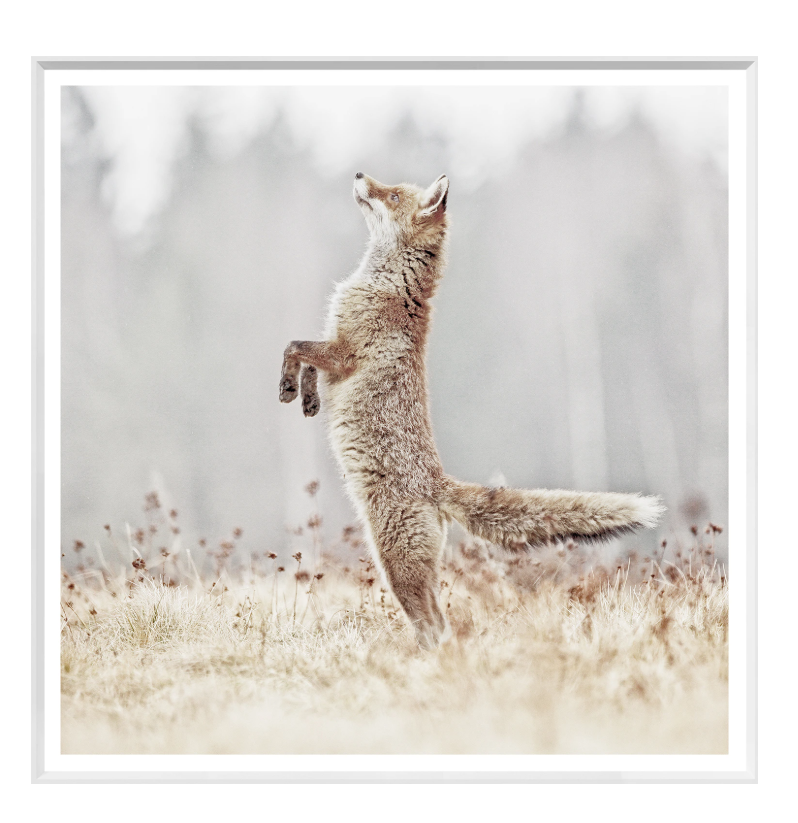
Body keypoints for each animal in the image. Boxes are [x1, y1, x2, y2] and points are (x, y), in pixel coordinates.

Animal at [280, 172, 665, 650]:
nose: (359, 175)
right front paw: (307, 398)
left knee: (434, 625)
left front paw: (287, 386)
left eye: (392, 194)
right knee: (438, 623)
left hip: (395, 564)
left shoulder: (344, 351)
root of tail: (437, 484)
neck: (387, 285)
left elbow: (295, 346)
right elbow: (308, 361)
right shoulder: (334, 348)